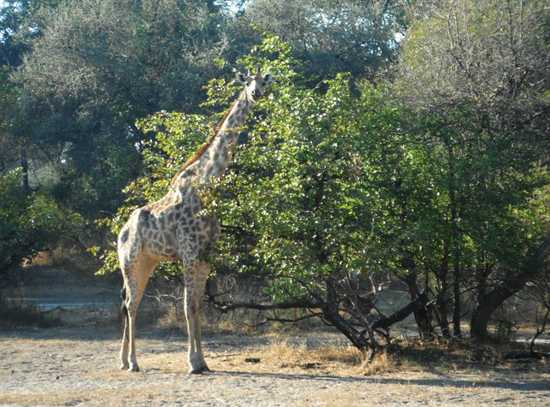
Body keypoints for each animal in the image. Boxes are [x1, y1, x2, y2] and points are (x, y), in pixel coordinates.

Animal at [118, 67, 274, 376]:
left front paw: (203, 361)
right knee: (131, 304)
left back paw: (123, 360)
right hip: (130, 262)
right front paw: (192, 362)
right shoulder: (190, 253)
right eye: (246, 82)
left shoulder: (205, 256)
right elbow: (188, 306)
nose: (256, 94)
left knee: (129, 304)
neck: (208, 183)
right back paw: (133, 362)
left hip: (147, 262)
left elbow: (199, 307)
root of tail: (121, 233)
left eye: (263, 81)